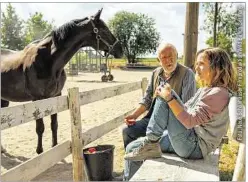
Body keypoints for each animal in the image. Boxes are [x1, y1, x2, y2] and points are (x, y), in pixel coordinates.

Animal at [0, 8, 123, 154]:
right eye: (104, 29)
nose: (120, 49)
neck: (49, 61)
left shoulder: (56, 96)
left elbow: (54, 125)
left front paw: (54, 146)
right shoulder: (37, 99)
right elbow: (40, 128)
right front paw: (40, 151)